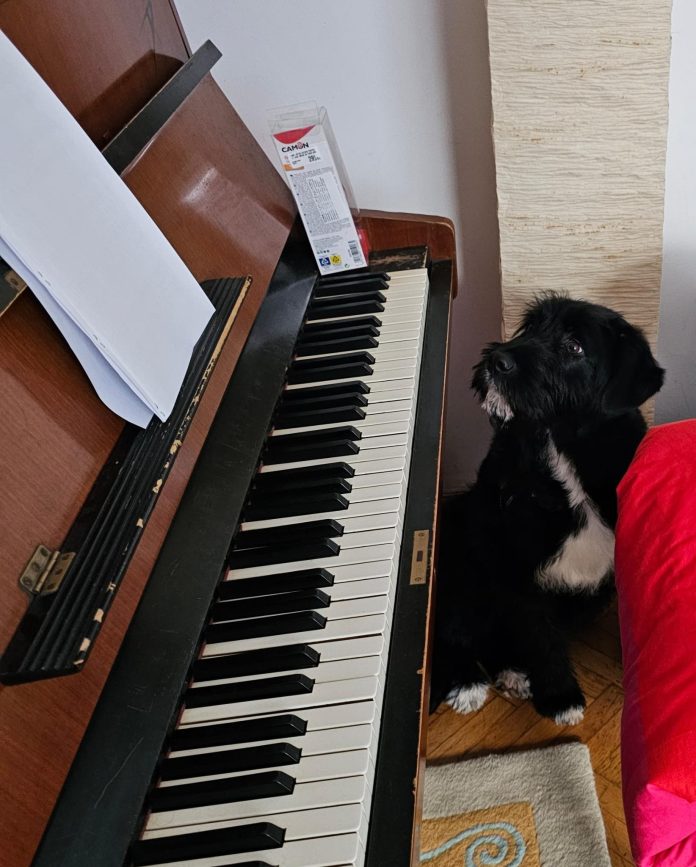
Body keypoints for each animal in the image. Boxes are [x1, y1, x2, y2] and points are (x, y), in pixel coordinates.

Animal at [429, 294, 664, 724]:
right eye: (532, 328)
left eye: (574, 346)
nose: (497, 360)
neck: (560, 446)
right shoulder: (517, 568)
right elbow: (542, 637)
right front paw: (560, 696)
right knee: (452, 631)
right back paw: (467, 681)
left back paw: (512, 671)